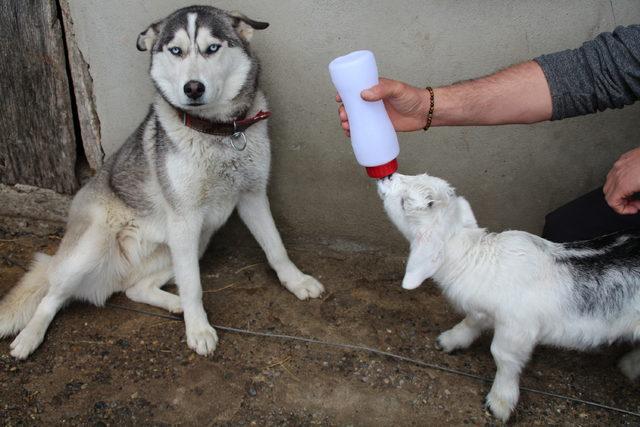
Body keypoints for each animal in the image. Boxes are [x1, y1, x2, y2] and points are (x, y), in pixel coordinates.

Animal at [0, 5, 322, 362]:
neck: (219, 133)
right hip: (95, 246)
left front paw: (297, 281)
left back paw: (173, 303)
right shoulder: (185, 217)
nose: (193, 88)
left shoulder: (252, 196)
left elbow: (276, 248)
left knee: (135, 288)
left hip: (194, 242)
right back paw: (28, 338)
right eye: (176, 50)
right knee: (51, 297)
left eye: (212, 48)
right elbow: (194, 286)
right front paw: (199, 330)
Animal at [378, 173, 636, 422]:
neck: (477, 257)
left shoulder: (516, 328)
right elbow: (472, 320)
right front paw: (450, 340)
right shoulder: (486, 310)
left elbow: (503, 357)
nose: (386, 177)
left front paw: (500, 402)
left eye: (404, 203)